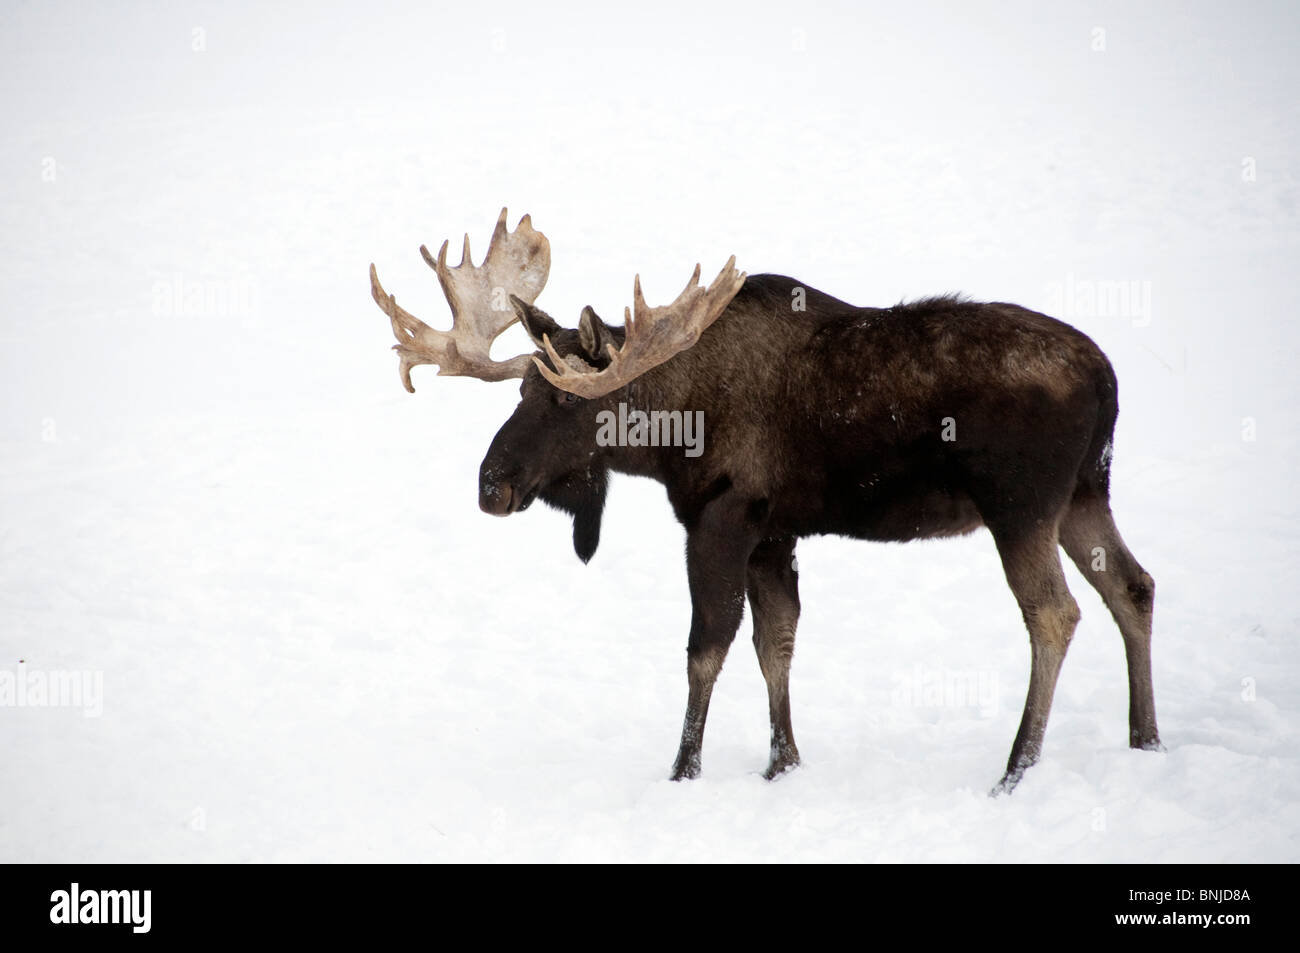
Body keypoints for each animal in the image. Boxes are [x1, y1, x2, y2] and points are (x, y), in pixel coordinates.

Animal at [371, 210, 1164, 795]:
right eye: (523, 388)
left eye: (567, 398)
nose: (490, 484)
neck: (673, 427)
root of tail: (1109, 380)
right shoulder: (775, 533)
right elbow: (774, 642)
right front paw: (782, 762)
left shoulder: (720, 518)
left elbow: (707, 646)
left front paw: (683, 771)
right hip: (1085, 493)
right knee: (1135, 586)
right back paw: (1145, 737)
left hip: (1020, 504)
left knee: (1055, 613)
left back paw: (1016, 770)